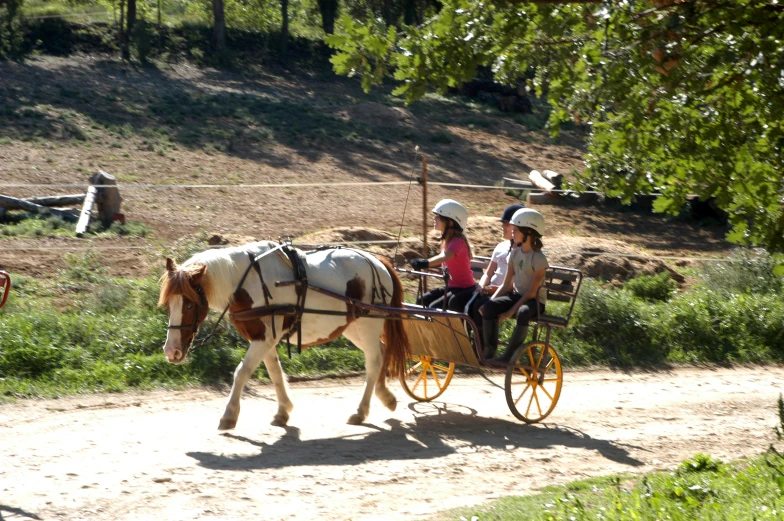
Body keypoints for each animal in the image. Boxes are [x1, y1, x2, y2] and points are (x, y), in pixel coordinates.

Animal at [158, 240, 410, 426]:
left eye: (190, 305)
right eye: (168, 305)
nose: (171, 351)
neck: (248, 281)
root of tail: (378, 262)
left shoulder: (265, 337)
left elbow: (242, 372)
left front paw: (229, 415)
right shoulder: (264, 337)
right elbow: (275, 373)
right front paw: (283, 410)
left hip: (367, 325)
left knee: (374, 360)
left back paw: (361, 410)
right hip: (353, 328)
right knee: (381, 352)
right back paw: (385, 396)